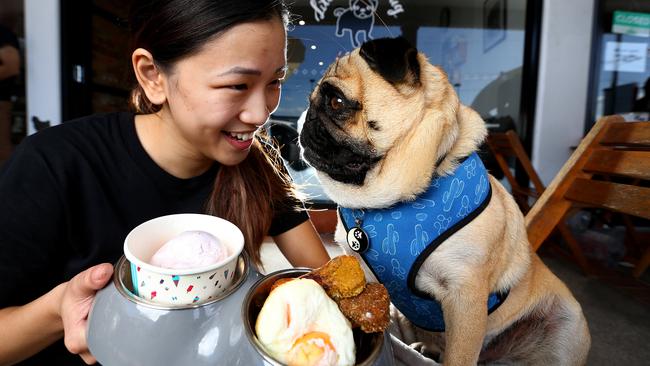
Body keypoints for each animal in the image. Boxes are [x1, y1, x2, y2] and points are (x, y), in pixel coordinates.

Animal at [298, 38, 588, 366]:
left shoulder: (466, 298)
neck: (388, 203)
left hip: (567, 322)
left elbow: (458, 357)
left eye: (336, 102)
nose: (306, 118)